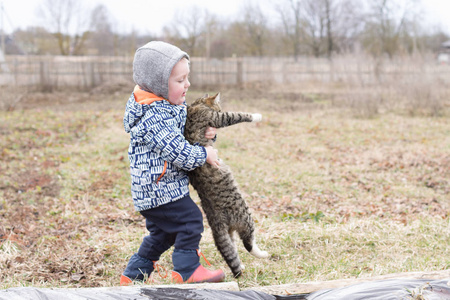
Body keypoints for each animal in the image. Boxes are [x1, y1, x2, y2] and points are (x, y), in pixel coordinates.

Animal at [185, 92, 268, 278]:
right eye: (219, 109)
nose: (219, 109)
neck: (196, 104)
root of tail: (217, 219)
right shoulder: (216, 118)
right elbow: (237, 115)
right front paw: (256, 116)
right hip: (245, 214)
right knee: (248, 242)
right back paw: (263, 253)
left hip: (228, 233)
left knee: (231, 248)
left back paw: (241, 265)